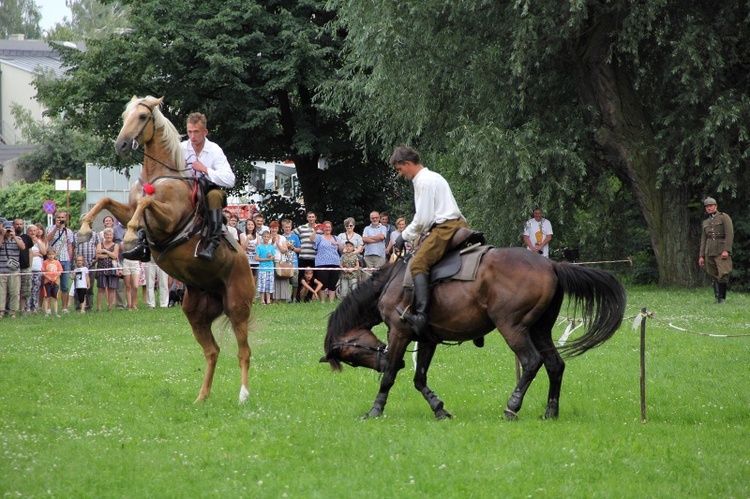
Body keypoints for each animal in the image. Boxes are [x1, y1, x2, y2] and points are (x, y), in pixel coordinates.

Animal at [78, 94, 258, 406]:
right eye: (125, 115)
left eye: (141, 117)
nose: (121, 145)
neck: (161, 175)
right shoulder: (128, 210)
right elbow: (108, 202)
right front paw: (86, 228)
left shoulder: (169, 219)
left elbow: (146, 203)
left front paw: (129, 238)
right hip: (195, 312)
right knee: (212, 351)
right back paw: (202, 396)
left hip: (237, 308)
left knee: (243, 352)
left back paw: (243, 395)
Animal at [324, 248, 628, 420]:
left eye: (351, 355)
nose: (390, 361)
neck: (392, 282)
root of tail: (552, 265)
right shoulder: (427, 339)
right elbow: (419, 379)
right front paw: (438, 408)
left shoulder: (400, 332)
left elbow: (389, 379)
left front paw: (375, 410)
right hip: (540, 330)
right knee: (555, 365)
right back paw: (550, 412)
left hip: (513, 328)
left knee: (531, 362)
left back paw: (512, 407)